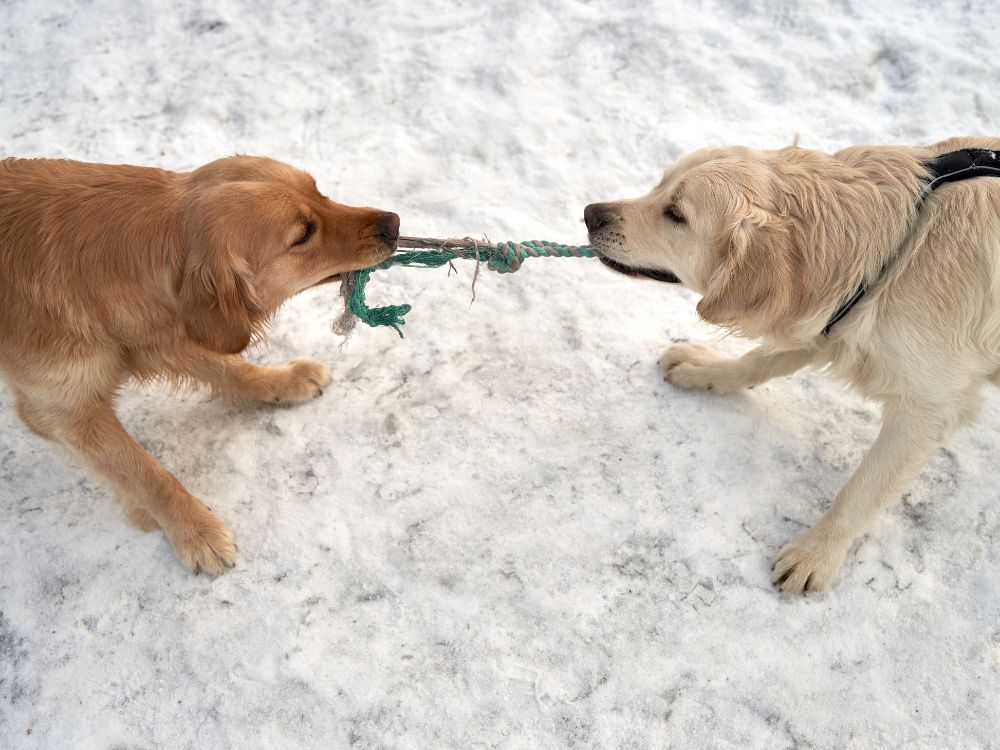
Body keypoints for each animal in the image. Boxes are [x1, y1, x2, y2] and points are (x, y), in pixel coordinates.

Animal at [0, 154, 398, 576]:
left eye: (318, 190)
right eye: (303, 234)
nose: (394, 223)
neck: (100, 268)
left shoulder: (170, 332)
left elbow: (230, 367)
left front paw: (284, 380)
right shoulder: (62, 412)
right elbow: (145, 473)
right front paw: (196, 531)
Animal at [584, 135, 1000, 592]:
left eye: (676, 214)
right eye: (660, 184)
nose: (589, 214)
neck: (891, 255)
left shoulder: (929, 406)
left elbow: (862, 489)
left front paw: (816, 554)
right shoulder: (828, 318)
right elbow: (757, 361)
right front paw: (706, 371)